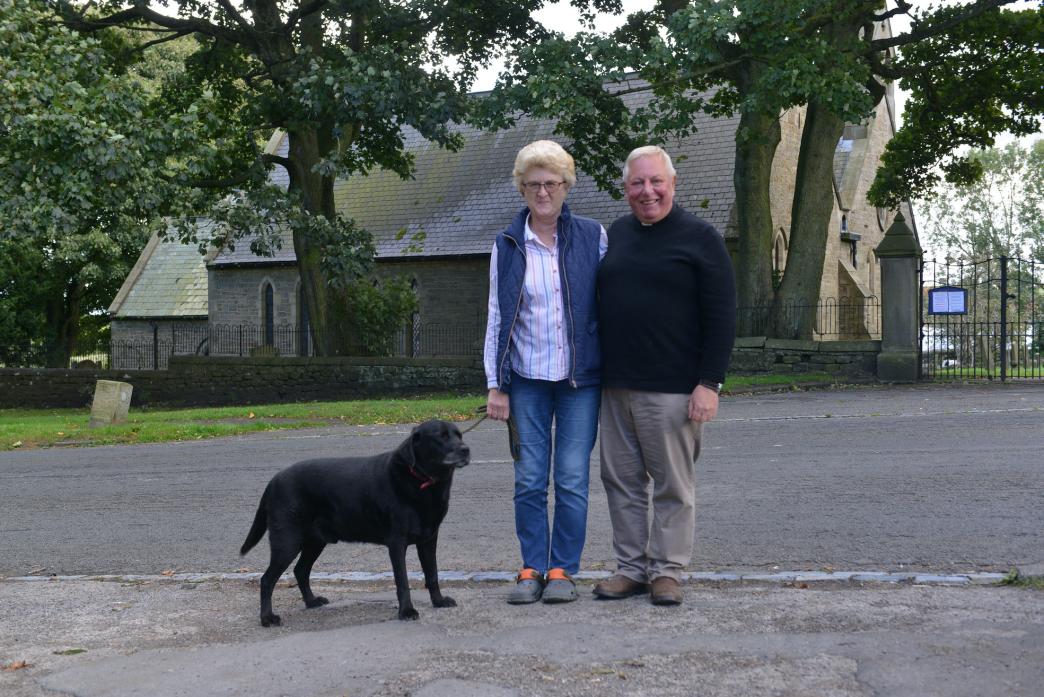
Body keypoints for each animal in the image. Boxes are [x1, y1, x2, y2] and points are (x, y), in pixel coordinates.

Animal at [240, 419, 469, 626]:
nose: (466, 450)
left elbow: (432, 574)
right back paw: (267, 618)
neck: (421, 481)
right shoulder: (397, 543)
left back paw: (311, 601)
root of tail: (273, 480)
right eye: (441, 437)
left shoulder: (429, 539)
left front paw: (438, 601)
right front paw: (406, 611)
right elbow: (402, 581)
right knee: (267, 579)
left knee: (300, 570)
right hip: (287, 542)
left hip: (315, 542)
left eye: (459, 435)